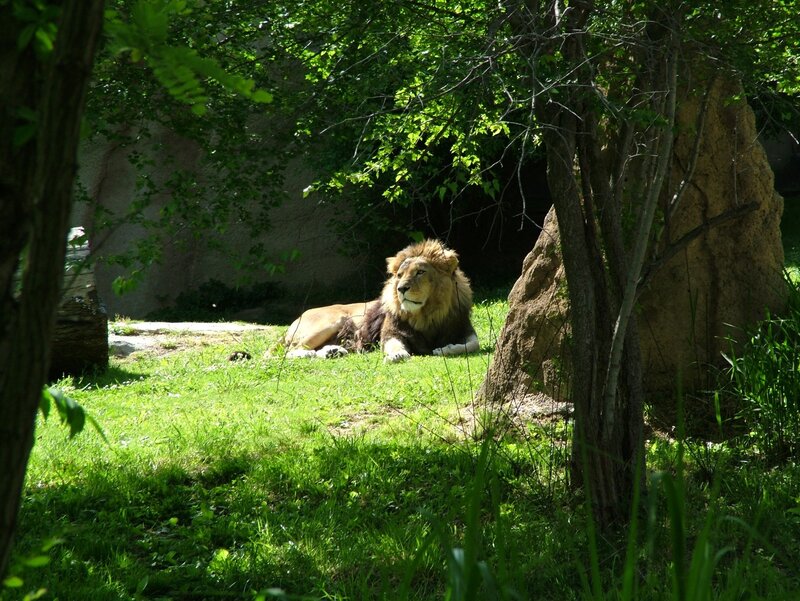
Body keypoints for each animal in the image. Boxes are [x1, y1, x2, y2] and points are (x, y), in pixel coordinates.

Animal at [283, 239, 479, 362]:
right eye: (399, 275)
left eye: (420, 272)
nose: (401, 288)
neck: (427, 314)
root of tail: (299, 317)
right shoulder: (392, 332)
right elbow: (393, 345)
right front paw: (396, 356)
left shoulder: (464, 327)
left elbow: (473, 344)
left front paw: (446, 349)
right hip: (332, 321)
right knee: (289, 351)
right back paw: (309, 354)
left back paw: (333, 351)